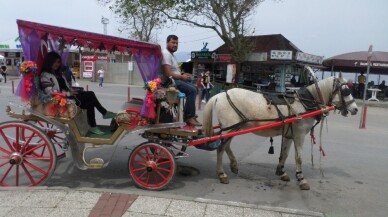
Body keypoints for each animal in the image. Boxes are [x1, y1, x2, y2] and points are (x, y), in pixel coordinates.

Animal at [203, 73, 358, 190]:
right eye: (346, 91)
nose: (356, 109)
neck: (305, 103)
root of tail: (219, 95)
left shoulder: (289, 134)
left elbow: (285, 154)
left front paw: (281, 172)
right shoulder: (299, 134)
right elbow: (298, 157)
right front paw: (301, 178)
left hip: (234, 128)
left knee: (226, 146)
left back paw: (234, 166)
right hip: (230, 127)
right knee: (221, 148)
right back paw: (222, 174)